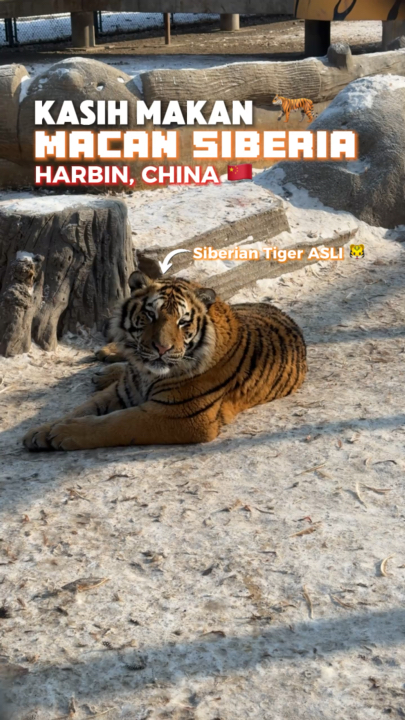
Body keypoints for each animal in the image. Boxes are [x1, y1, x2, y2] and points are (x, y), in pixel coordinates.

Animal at [23, 258, 307, 451]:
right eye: (150, 314)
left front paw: (61, 434)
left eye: (183, 322)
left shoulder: (182, 416)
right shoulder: (122, 391)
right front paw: (40, 431)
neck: (146, 373)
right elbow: (80, 409)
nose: (162, 348)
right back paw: (106, 361)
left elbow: (115, 424)